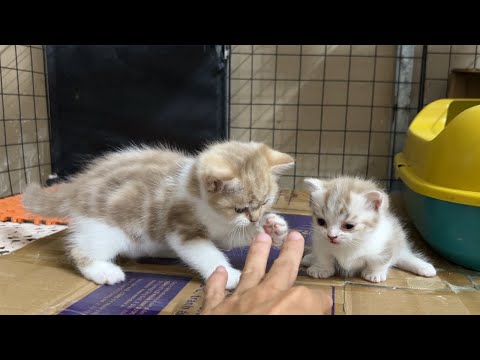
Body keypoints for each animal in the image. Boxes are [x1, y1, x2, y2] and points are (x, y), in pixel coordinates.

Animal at [22, 141, 294, 290]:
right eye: (240, 208)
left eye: (265, 202)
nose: (254, 218)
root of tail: (78, 185)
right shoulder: (182, 227)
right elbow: (206, 252)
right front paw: (227, 274)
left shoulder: (224, 230)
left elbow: (233, 237)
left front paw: (273, 226)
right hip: (107, 228)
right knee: (81, 248)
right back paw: (102, 270)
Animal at [302, 176, 436, 282]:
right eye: (321, 221)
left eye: (349, 226)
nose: (331, 236)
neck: (349, 244)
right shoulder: (320, 242)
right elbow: (323, 256)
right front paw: (321, 269)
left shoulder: (386, 242)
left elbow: (380, 260)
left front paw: (374, 274)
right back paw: (309, 258)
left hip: (398, 238)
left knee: (403, 256)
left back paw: (425, 267)